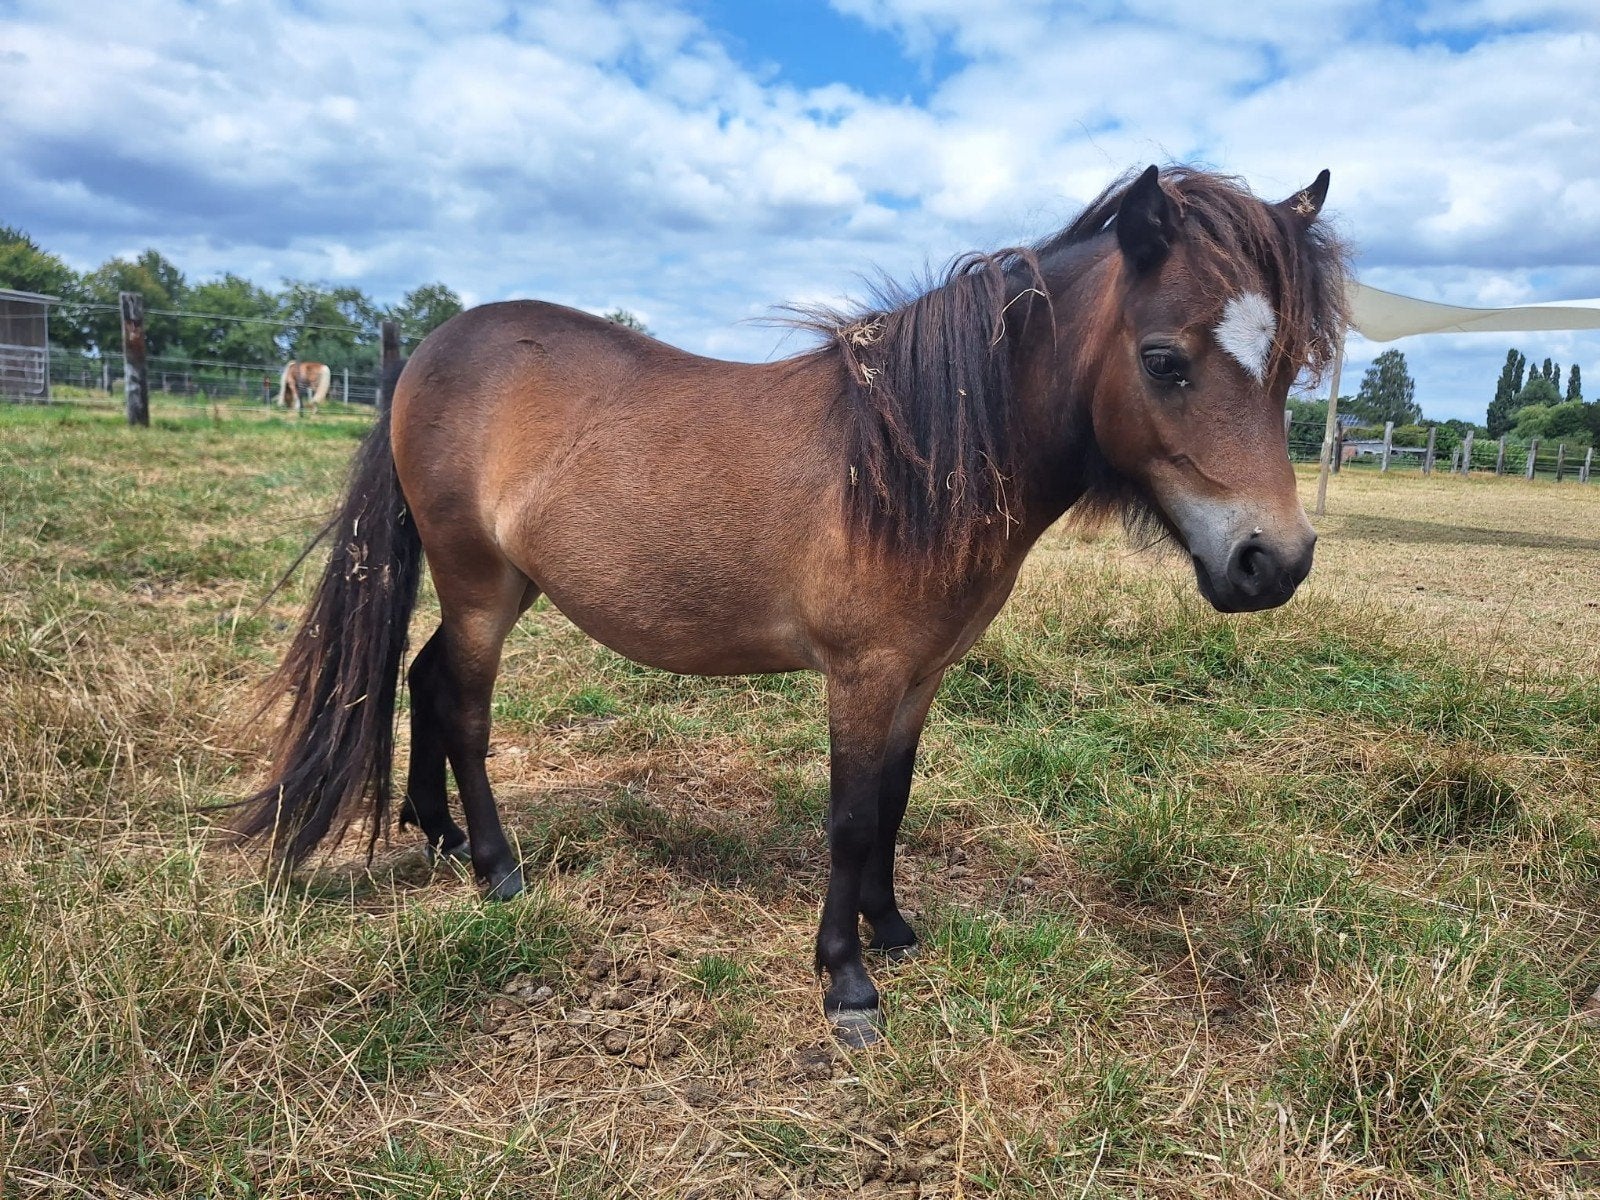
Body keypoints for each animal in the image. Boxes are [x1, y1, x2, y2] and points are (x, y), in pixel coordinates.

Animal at [240, 165, 1349, 1045]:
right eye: (1165, 359)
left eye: (1290, 363)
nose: (1274, 562)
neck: (911, 462)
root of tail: (426, 354)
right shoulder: (860, 675)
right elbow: (851, 816)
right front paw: (845, 982)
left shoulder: (919, 675)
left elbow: (894, 802)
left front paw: (890, 931)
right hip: (478, 583)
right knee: (465, 707)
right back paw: (497, 867)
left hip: (497, 588)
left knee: (425, 678)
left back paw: (436, 836)